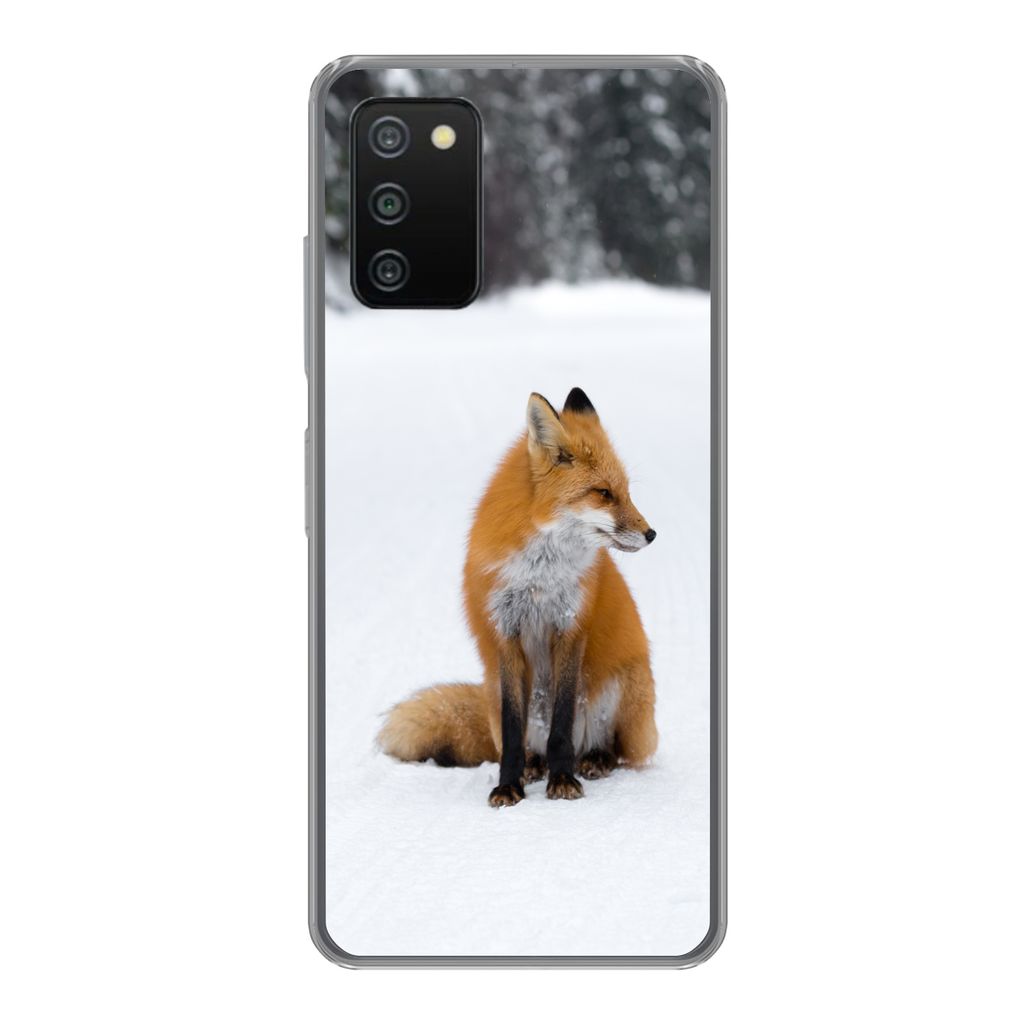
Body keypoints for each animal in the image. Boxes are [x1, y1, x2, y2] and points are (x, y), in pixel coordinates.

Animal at [378, 387, 659, 807]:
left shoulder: (570, 628)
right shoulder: (504, 632)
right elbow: (512, 733)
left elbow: (562, 724)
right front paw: (509, 784)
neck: (539, 577)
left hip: (623, 688)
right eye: (604, 494)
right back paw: (533, 765)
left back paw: (592, 760)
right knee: (522, 743)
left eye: (625, 492)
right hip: (493, 688)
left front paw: (563, 780)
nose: (652, 534)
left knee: (613, 748)